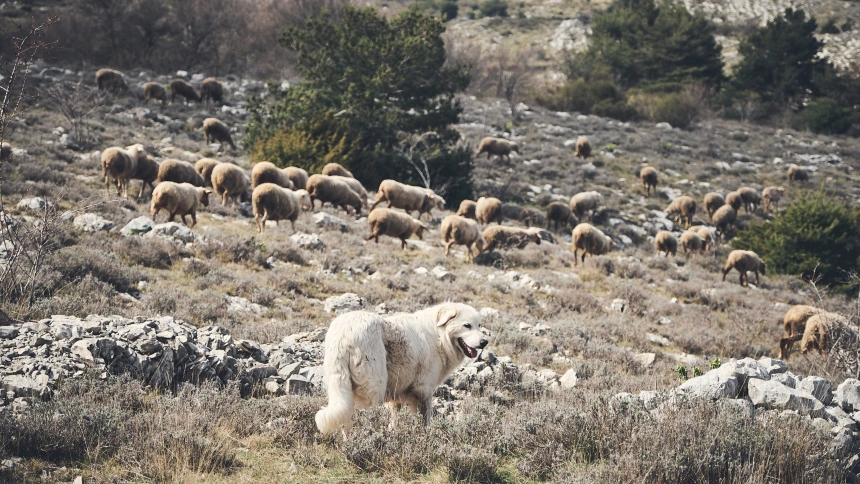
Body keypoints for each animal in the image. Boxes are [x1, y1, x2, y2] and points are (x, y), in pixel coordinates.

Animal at [315, 302, 489, 435]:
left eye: (479, 325)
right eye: (467, 326)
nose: (484, 342)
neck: (439, 335)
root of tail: (343, 336)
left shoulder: (397, 393)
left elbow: (395, 417)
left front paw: (394, 432)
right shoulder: (424, 390)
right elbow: (425, 417)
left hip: (341, 386)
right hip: (374, 386)